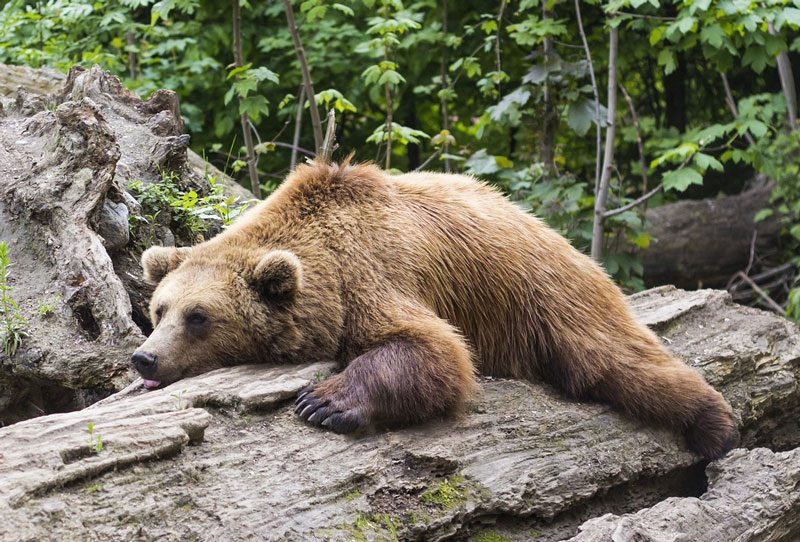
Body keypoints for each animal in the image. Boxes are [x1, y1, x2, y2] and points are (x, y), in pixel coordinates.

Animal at [134, 159, 740, 462]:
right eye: (159, 310)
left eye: (198, 317)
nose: (145, 359)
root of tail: (545, 226)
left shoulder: (374, 275)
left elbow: (434, 350)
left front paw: (324, 402)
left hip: (546, 295)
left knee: (616, 360)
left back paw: (715, 425)